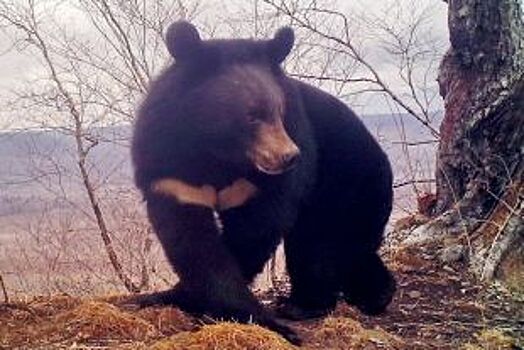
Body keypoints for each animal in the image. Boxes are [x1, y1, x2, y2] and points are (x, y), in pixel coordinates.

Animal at [130, 21, 392, 344]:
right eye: (251, 116)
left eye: (279, 112)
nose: (289, 156)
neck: (216, 152)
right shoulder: (169, 168)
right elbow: (189, 237)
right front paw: (164, 295)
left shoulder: (265, 178)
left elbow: (252, 231)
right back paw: (372, 292)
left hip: (346, 182)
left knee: (321, 242)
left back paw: (306, 305)